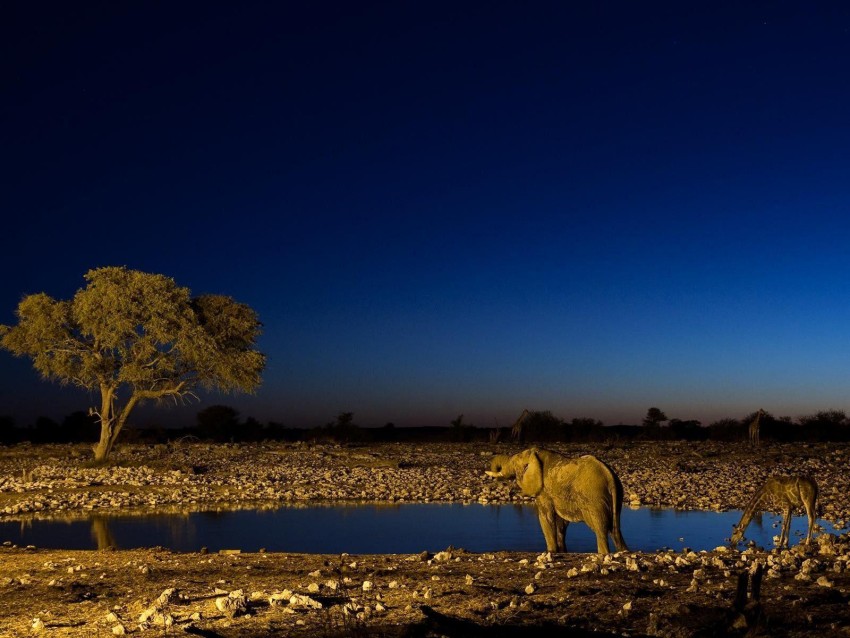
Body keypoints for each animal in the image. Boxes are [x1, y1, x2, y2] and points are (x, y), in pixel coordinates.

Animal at [480, 450, 628, 556]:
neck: (535, 453)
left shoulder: (544, 491)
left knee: (600, 528)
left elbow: (545, 517)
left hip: (594, 498)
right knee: (615, 529)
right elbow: (561, 523)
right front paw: (561, 551)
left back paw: (603, 553)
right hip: (617, 495)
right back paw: (623, 552)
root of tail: (610, 476)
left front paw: (550, 552)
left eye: (514, 462)